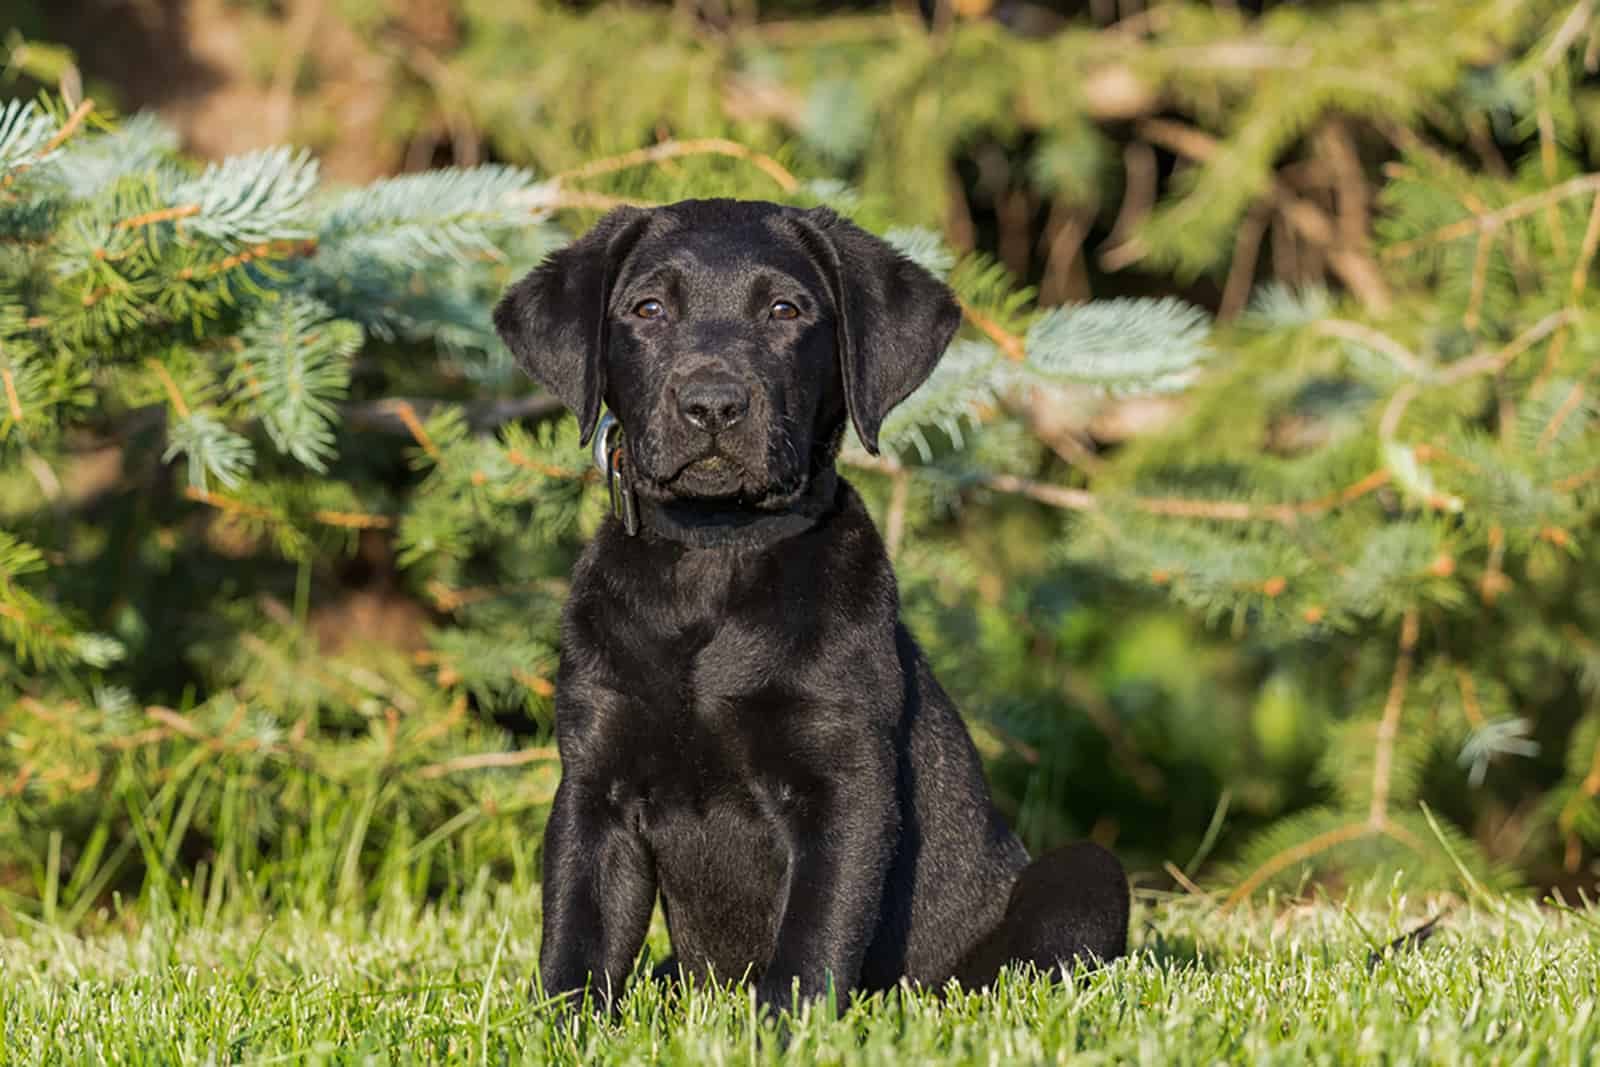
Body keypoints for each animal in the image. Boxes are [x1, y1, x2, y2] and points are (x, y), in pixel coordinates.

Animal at [492, 199, 1132, 1017]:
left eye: (785, 311)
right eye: (648, 309)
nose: (713, 405)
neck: (717, 551)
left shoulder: (845, 785)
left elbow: (811, 939)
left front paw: (782, 1030)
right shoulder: (593, 786)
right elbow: (576, 942)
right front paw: (561, 1030)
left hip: (1084, 875)